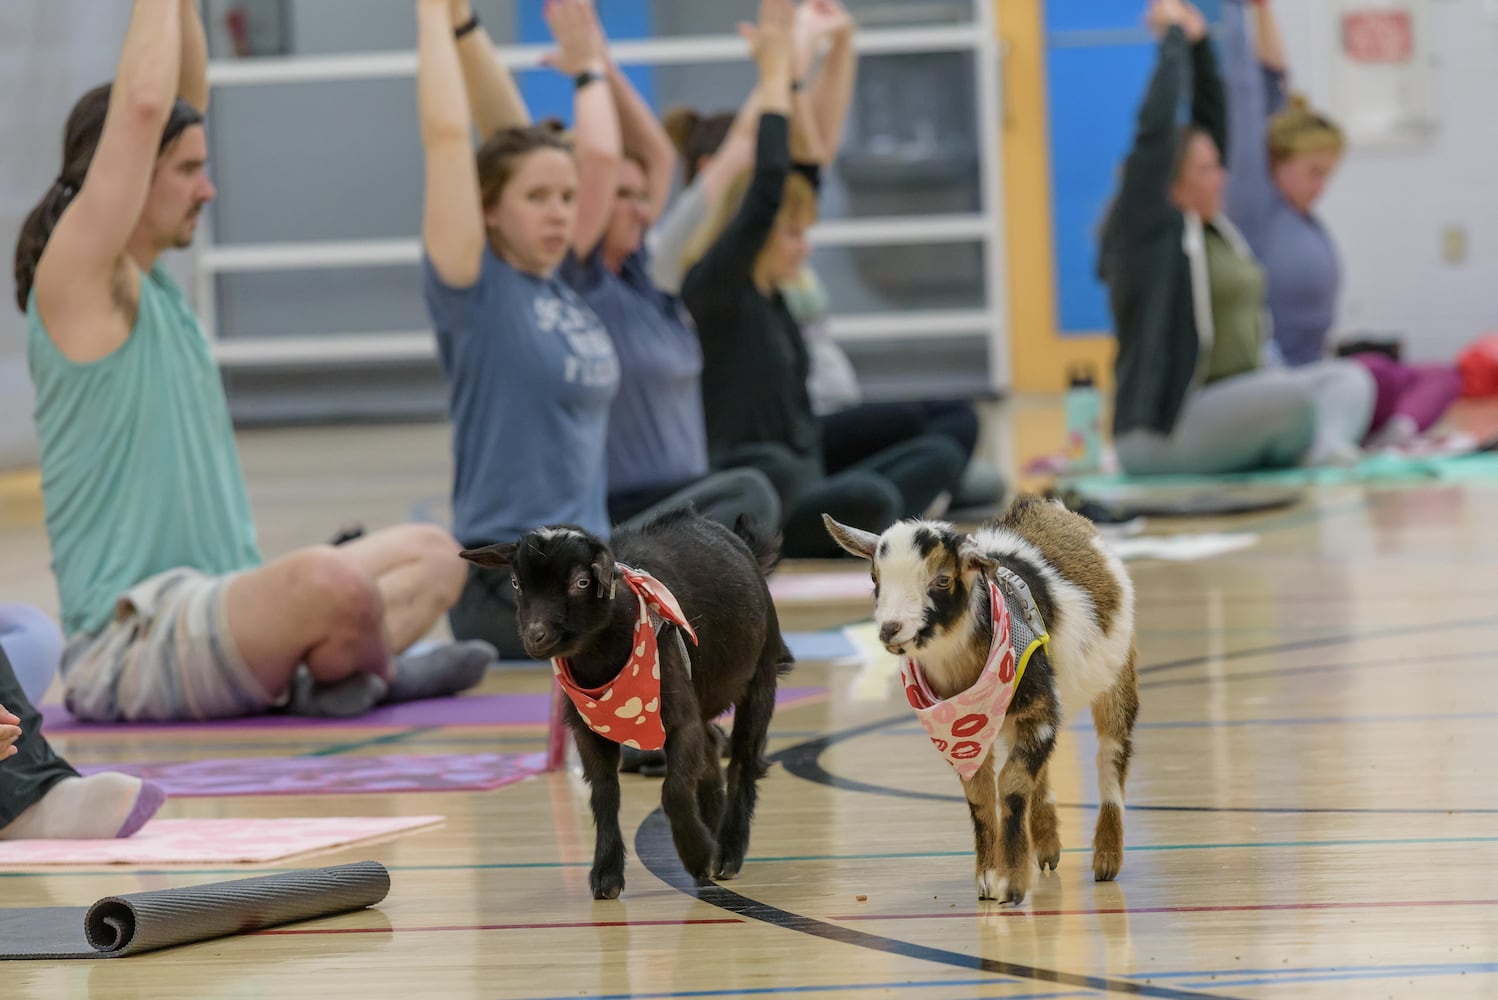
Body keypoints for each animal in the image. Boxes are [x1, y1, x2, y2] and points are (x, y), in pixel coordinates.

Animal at [458, 508, 790, 898]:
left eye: (581, 582)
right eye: (515, 582)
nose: (536, 636)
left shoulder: (679, 719)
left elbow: (674, 789)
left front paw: (696, 855)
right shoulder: (587, 730)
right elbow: (605, 795)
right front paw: (606, 873)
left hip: (761, 674)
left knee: (742, 761)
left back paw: (727, 851)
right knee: (712, 744)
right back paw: (712, 822)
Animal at [832, 497, 1132, 904]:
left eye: (942, 580)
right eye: (875, 579)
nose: (890, 629)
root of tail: (1052, 508)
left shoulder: (1037, 711)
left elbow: (1012, 784)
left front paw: (1012, 883)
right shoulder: (966, 737)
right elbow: (980, 795)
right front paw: (990, 878)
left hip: (1118, 676)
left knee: (1111, 756)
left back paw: (1106, 859)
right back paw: (1048, 846)